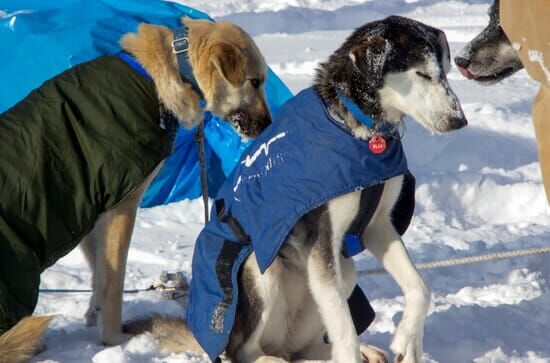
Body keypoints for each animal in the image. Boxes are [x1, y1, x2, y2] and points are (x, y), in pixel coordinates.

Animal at [0, 17, 272, 363]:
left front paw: (93, 316)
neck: (167, 73)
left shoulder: (91, 210)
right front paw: (113, 338)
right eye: (255, 82)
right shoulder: (122, 207)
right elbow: (112, 282)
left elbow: (98, 275)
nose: (269, 125)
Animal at [126, 14, 470, 363]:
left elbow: (420, 288)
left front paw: (408, 339)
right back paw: (272, 358)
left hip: (342, 272)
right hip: (260, 269)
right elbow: (345, 328)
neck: (357, 128)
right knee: (245, 351)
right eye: (422, 73)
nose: (459, 120)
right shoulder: (321, 240)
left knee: (306, 347)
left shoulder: (377, 226)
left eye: (444, 72)